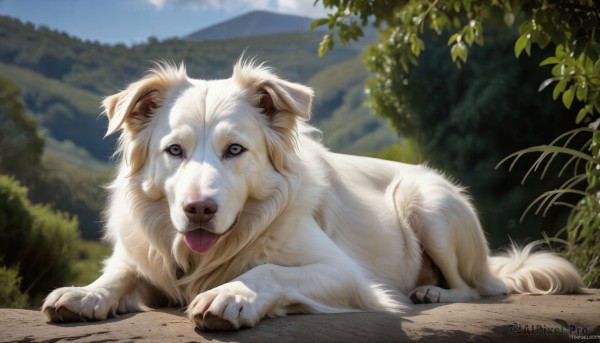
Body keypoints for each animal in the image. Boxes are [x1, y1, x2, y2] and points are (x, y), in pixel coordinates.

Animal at [42, 59, 580, 330]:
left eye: (235, 149)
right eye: (174, 150)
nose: (198, 210)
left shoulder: (347, 275)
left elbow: (268, 270)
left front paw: (231, 295)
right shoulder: (144, 257)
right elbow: (118, 275)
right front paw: (84, 293)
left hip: (425, 203)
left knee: (477, 287)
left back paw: (432, 290)